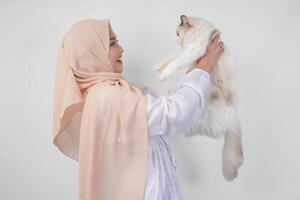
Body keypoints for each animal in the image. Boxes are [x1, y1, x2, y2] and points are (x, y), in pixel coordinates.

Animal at [155, 15, 244, 181]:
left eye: (178, 34)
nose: (177, 41)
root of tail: (234, 117)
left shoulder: (191, 51)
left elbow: (175, 62)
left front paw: (162, 75)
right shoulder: (186, 52)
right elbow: (172, 57)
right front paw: (158, 66)